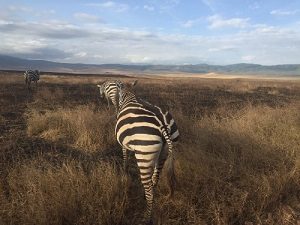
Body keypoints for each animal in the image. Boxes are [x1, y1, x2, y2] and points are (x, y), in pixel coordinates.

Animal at [97, 80, 179, 221]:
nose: (101, 96)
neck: (129, 97)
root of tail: (163, 124)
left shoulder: (123, 144)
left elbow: (125, 157)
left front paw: (124, 172)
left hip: (144, 155)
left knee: (149, 189)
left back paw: (147, 217)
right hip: (164, 152)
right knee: (155, 179)